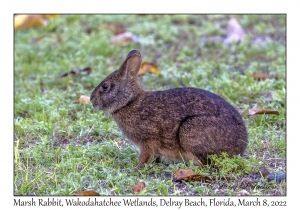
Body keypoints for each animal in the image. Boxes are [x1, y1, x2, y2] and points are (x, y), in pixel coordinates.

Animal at [90, 50, 247, 170]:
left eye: (105, 86)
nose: (91, 100)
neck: (129, 102)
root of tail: (240, 146)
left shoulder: (148, 139)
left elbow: (145, 156)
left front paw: (136, 169)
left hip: (190, 131)